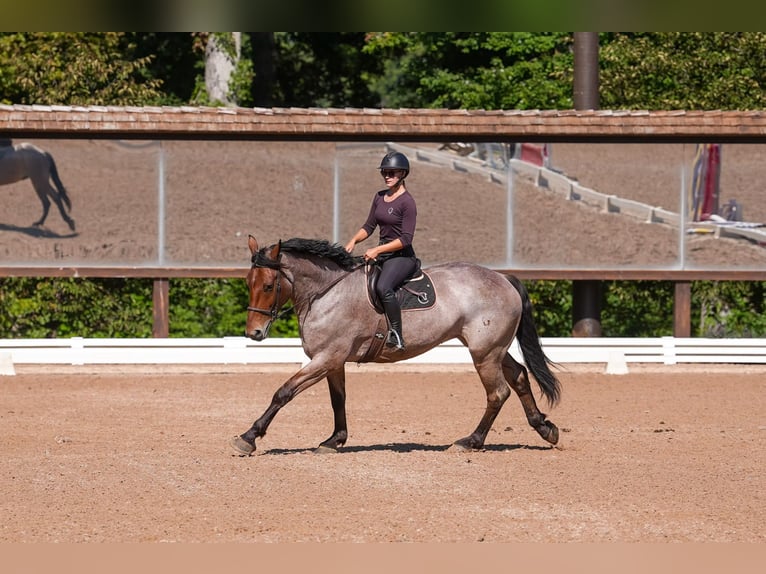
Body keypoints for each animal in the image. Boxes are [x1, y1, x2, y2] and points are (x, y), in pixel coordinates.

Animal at [230, 235, 562, 456]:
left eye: (268, 286)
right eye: (248, 283)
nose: (253, 333)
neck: (327, 293)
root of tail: (503, 278)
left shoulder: (326, 358)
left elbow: (283, 392)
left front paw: (248, 436)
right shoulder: (333, 361)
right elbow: (339, 400)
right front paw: (334, 440)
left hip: (484, 353)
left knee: (498, 393)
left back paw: (470, 441)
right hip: (493, 350)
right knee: (519, 377)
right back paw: (545, 428)